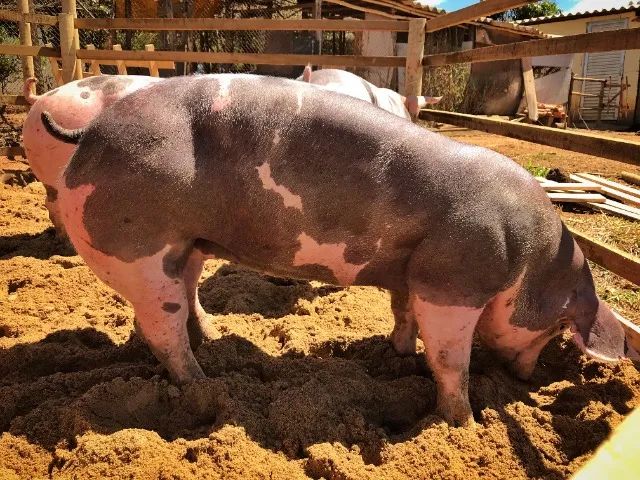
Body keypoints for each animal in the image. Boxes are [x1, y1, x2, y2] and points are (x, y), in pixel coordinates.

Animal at [44, 74, 628, 427]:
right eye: (556, 329)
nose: (526, 378)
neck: (528, 257)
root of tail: (90, 130)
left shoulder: (412, 271)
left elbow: (404, 316)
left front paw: (396, 354)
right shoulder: (453, 280)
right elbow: (449, 360)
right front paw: (463, 422)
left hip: (186, 246)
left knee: (184, 297)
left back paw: (212, 341)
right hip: (138, 247)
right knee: (160, 326)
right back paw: (201, 381)